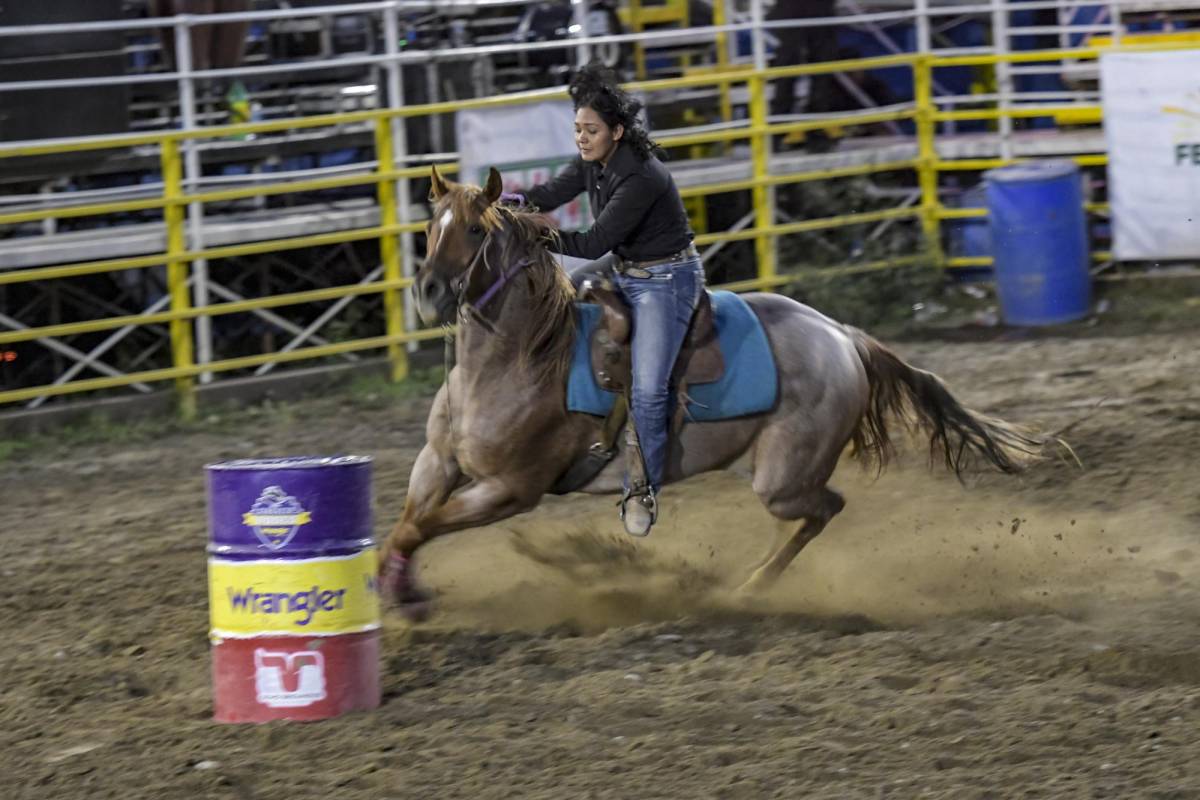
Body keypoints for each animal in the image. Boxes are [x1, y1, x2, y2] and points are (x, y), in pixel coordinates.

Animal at [379, 164, 1056, 618]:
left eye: (474, 228)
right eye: (430, 223)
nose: (430, 292)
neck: (522, 359)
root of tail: (843, 336)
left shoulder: (511, 490)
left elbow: (420, 527)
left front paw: (403, 596)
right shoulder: (437, 462)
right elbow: (407, 523)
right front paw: (399, 587)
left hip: (782, 478)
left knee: (822, 510)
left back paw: (749, 587)